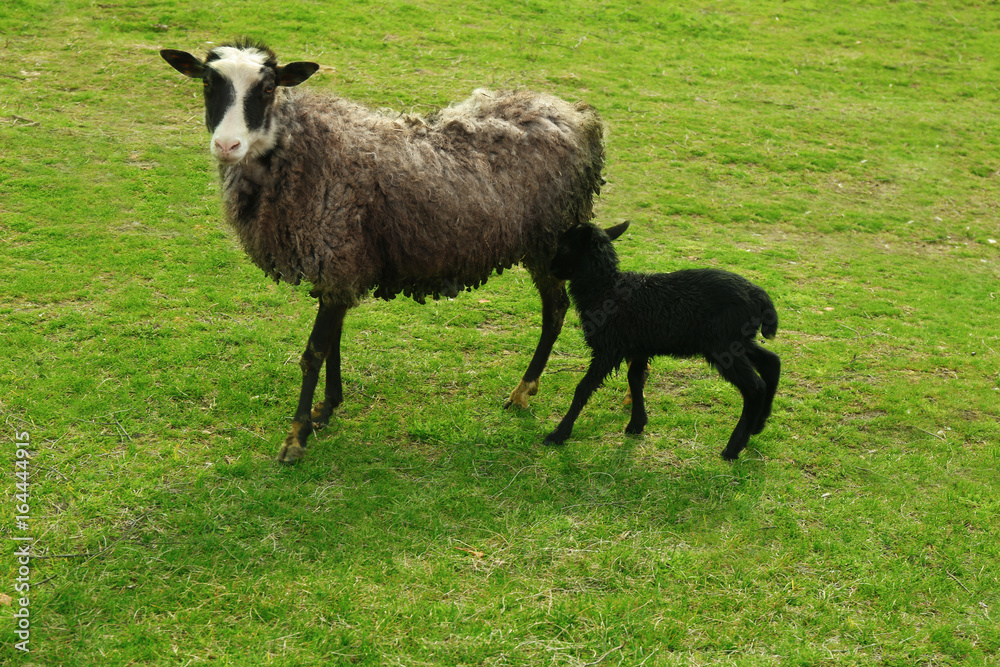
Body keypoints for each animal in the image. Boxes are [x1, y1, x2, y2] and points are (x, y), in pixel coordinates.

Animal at [159, 38, 605, 463]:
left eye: (268, 88)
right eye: (207, 82)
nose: (227, 145)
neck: (300, 151)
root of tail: (577, 114)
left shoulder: (336, 256)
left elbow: (313, 352)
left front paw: (296, 438)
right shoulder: (339, 265)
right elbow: (334, 341)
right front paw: (326, 409)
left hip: (550, 239)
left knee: (555, 310)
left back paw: (522, 391)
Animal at [544, 221, 780, 460]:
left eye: (564, 247)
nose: (549, 268)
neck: (605, 290)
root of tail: (760, 297)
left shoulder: (608, 348)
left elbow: (584, 387)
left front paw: (558, 434)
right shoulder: (638, 347)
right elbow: (635, 379)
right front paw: (636, 424)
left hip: (723, 345)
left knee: (755, 387)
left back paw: (733, 448)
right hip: (736, 340)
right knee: (772, 361)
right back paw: (758, 424)